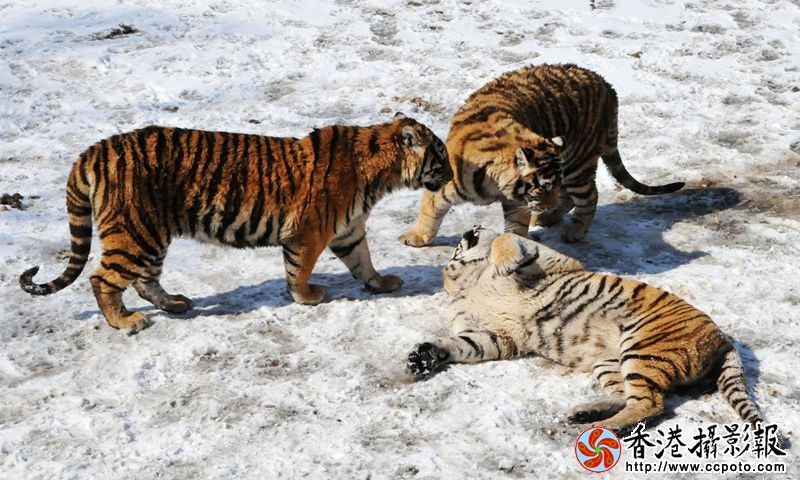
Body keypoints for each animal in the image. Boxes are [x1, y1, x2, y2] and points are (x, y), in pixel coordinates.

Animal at [19, 113, 451, 333]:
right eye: (441, 157)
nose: (450, 176)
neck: (381, 173)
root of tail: (92, 151)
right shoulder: (309, 230)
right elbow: (300, 269)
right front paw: (308, 296)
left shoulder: (348, 230)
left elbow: (363, 261)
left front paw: (382, 283)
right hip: (134, 233)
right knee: (102, 279)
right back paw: (125, 321)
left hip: (151, 235)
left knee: (145, 280)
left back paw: (175, 304)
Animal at [400, 63, 685, 246]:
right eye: (542, 188)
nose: (546, 203)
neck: (492, 183)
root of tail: (608, 86)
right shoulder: (442, 185)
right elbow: (430, 212)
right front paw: (417, 237)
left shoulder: (516, 202)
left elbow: (516, 228)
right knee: (572, 197)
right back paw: (548, 217)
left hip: (577, 163)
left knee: (588, 196)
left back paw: (573, 229)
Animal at [406, 227, 765, 432]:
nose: (473, 227)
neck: (471, 283)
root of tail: (722, 338)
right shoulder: (498, 336)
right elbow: (461, 344)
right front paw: (423, 357)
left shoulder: (549, 260)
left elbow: (510, 239)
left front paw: (504, 259)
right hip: (613, 362)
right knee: (629, 398)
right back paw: (585, 415)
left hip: (643, 348)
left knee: (650, 403)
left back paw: (600, 429)